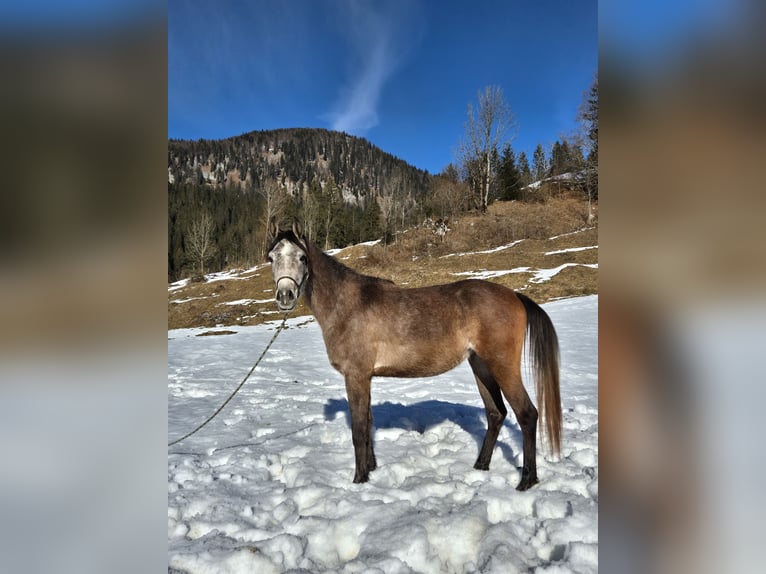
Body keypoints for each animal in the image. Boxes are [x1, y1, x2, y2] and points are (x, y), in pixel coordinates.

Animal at [266, 220, 564, 490]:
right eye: (272, 258)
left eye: (302, 257)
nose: (285, 295)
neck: (348, 306)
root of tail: (514, 295)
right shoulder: (366, 377)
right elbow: (369, 423)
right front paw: (371, 469)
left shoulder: (356, 376)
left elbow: (359, 430)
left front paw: (359, 479)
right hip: (481, 366)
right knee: (496, 414)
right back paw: (481, 466)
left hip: (502, 366)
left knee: (527, 414)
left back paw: (527, 481)